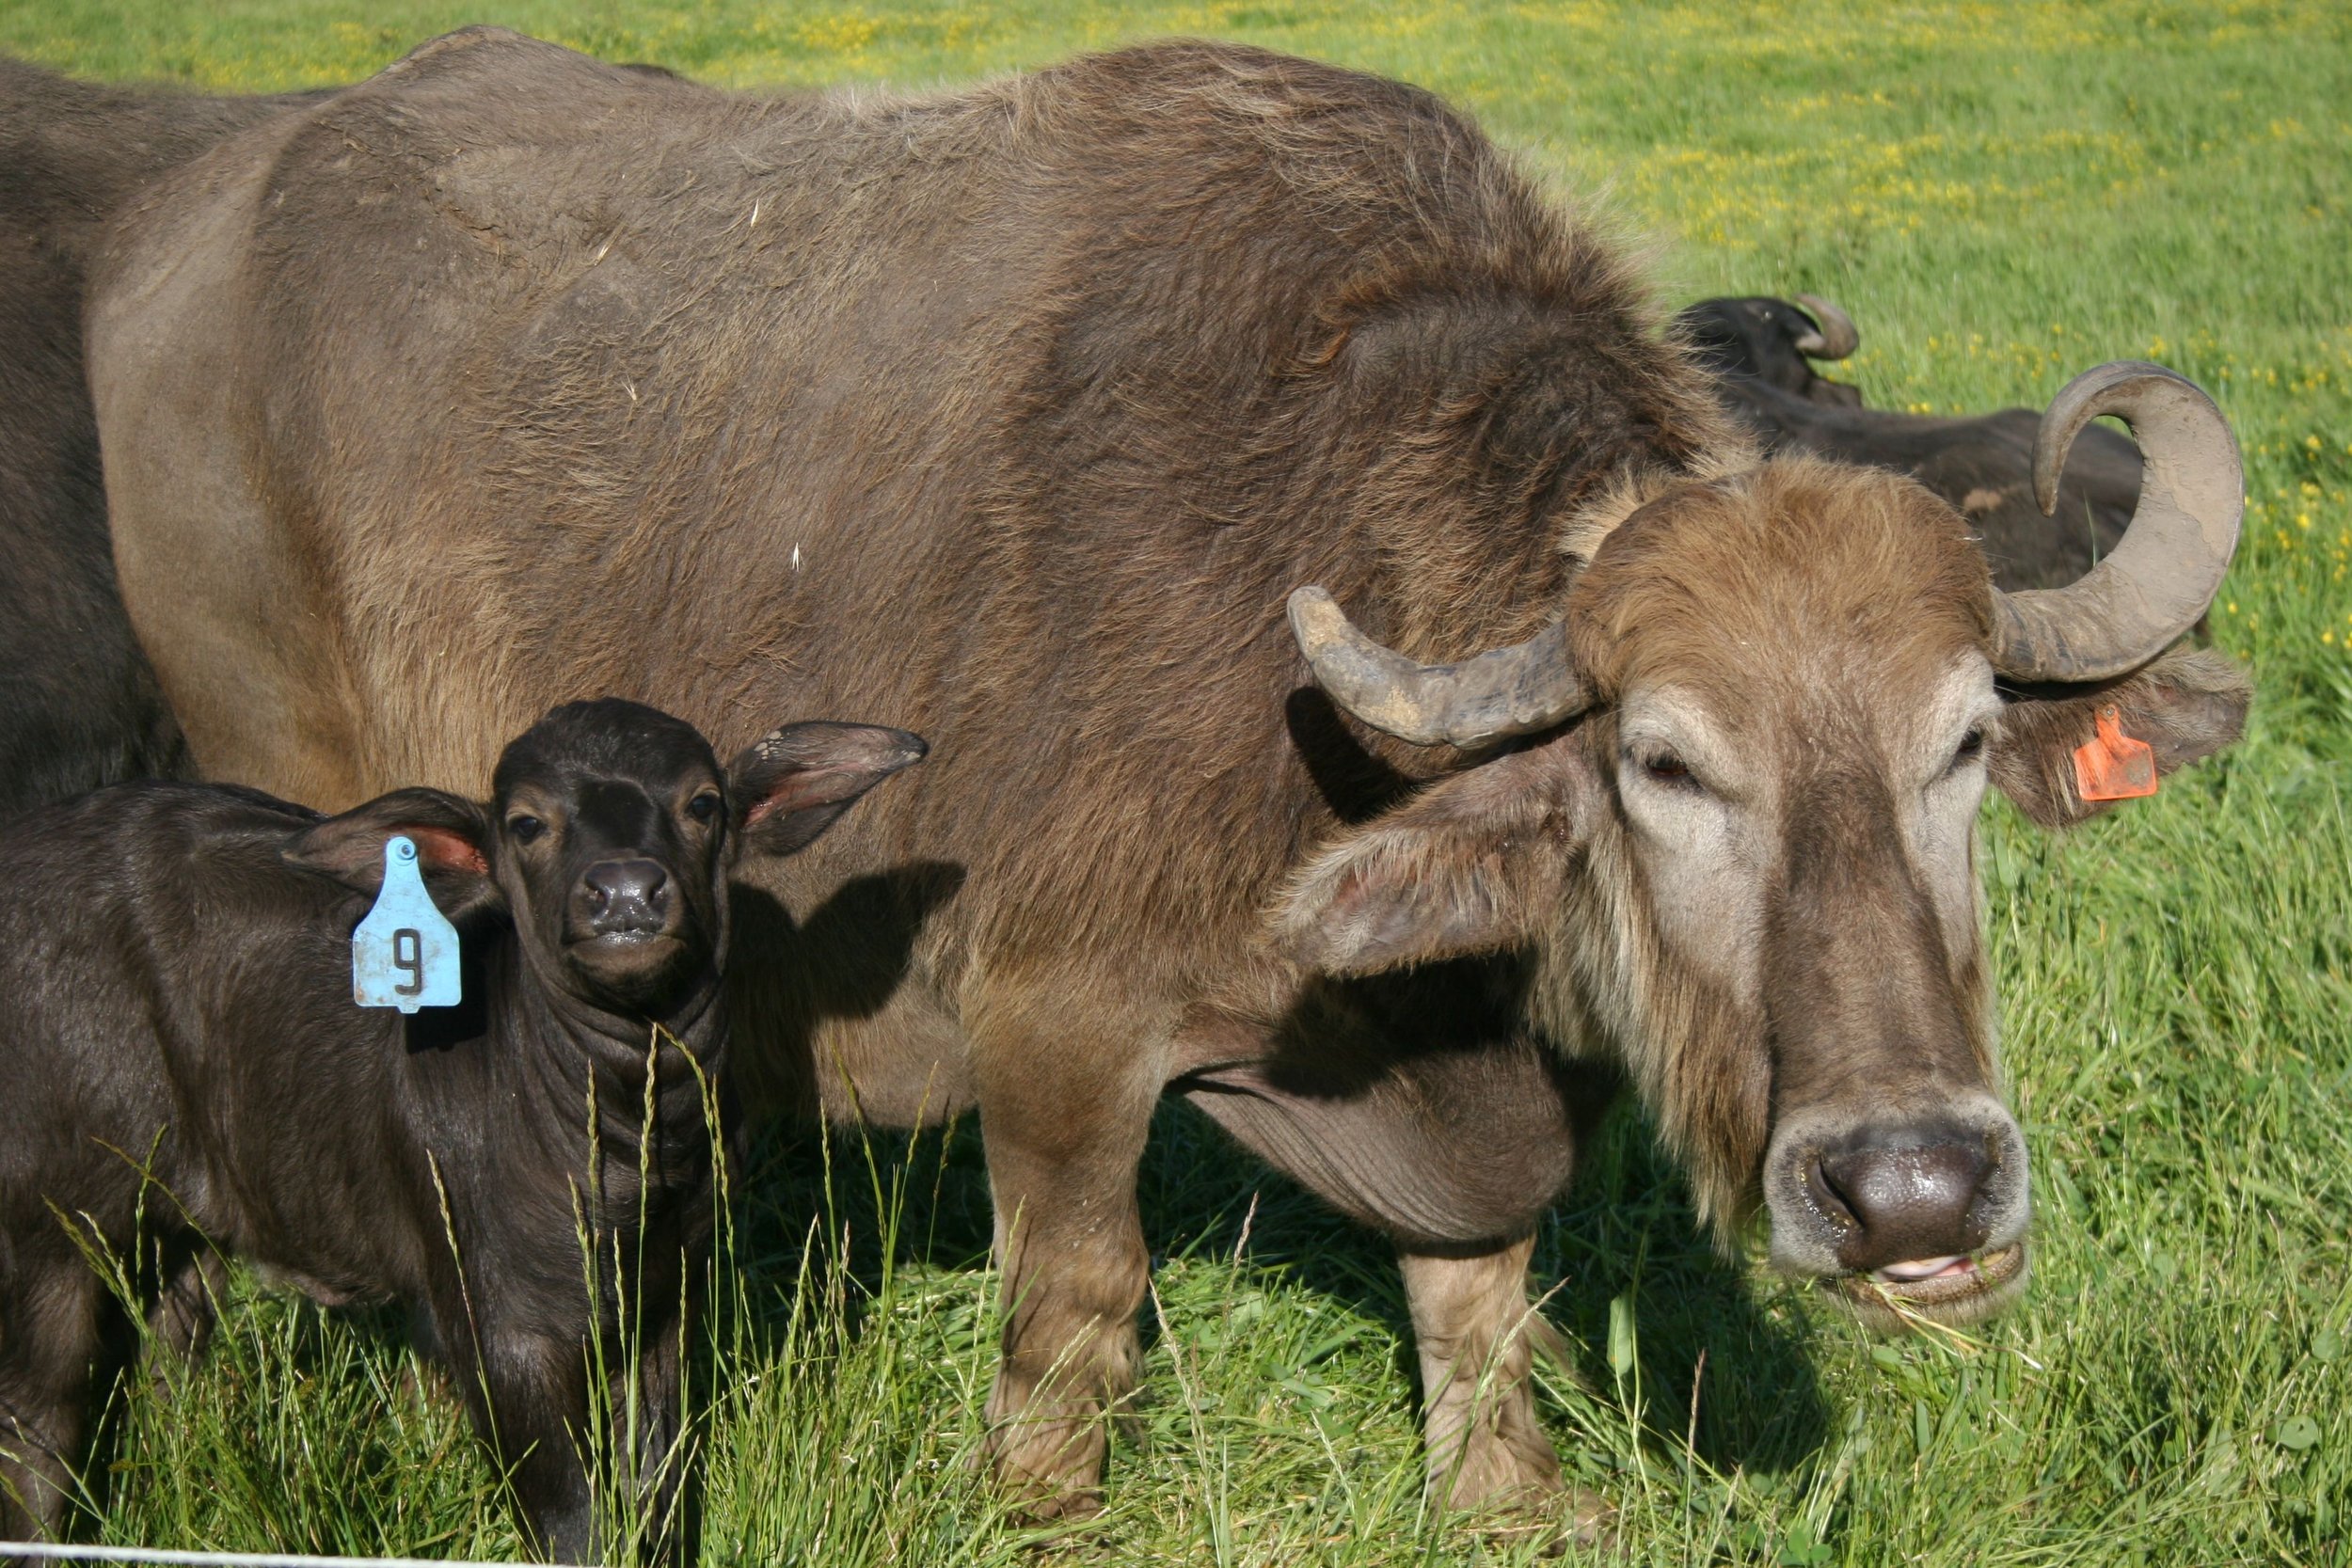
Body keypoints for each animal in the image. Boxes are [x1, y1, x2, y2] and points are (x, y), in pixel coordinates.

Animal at [0, 700, 922, 1560]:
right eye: (526, 822)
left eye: (702, 804)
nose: (626, 893)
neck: (621, 1144)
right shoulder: (495, 1330)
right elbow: (572, 1520)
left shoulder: (662, 1307)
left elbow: (654, 1492)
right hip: (47, 1217)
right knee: (38, 1418)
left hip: (187, 1211)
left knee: (167, 1348)